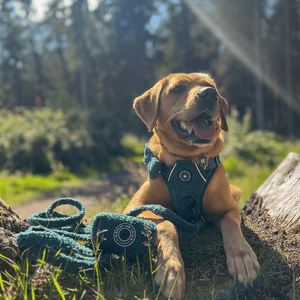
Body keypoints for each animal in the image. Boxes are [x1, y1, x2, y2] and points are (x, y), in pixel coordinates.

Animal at [123, 73, 258, 300]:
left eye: (211, 86)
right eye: (177, 89)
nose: (209, 94)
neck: (188, 163)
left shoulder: (228, 209)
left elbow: (231, 224)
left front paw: (242, 256)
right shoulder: (135, 206)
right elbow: (167, 223)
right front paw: (171, 267)